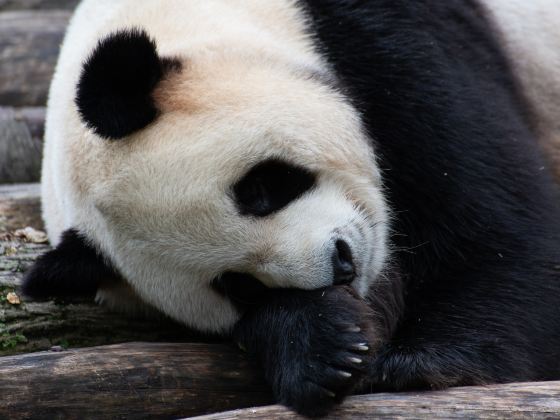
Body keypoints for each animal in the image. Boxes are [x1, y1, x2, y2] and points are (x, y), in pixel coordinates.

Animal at [19, 0, 560, 416]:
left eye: (259, 188)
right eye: (238, 285)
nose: (341, 264)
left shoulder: (392, 37)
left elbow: (494, 222)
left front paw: (422, 364)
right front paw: (323, 348)